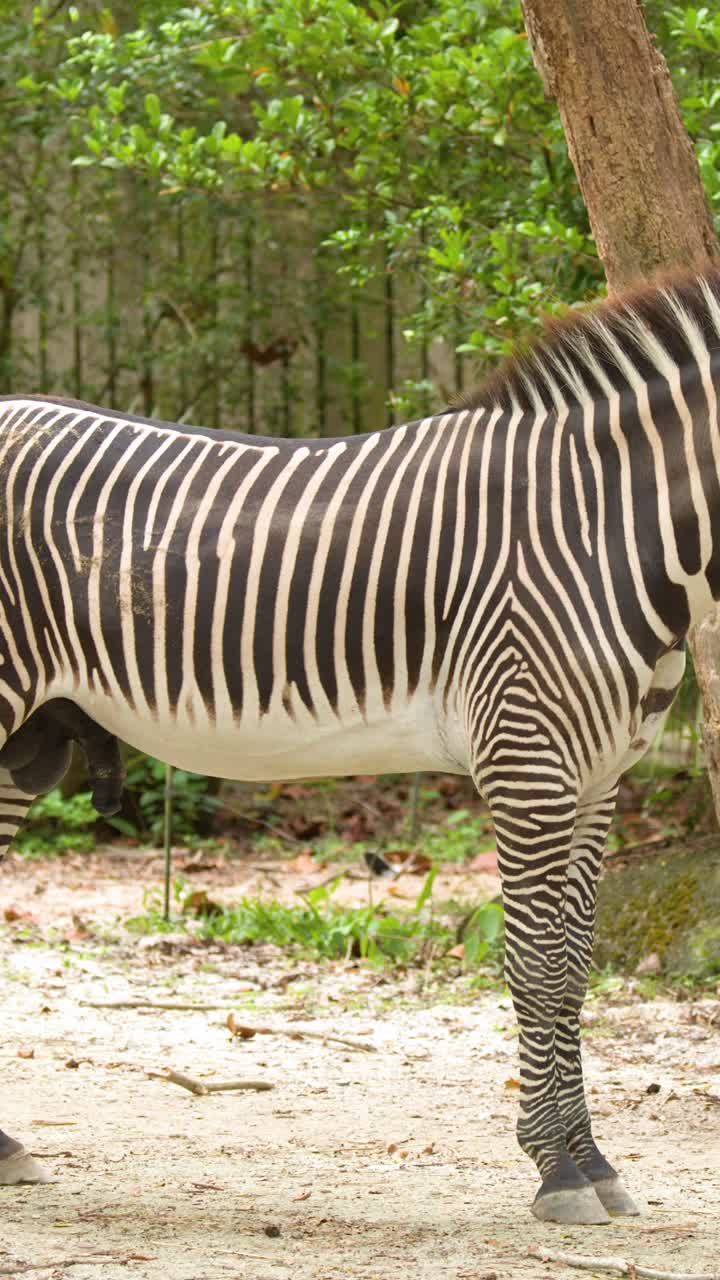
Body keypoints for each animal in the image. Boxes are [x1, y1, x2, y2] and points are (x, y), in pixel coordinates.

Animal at [1, 266, 718, 1224]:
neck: (608, 527)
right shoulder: (526, 759)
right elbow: (534, 964)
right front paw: (557, 1173)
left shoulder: (599, 778)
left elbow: (573, 966)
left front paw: (594, 1162)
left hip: (29, 736)